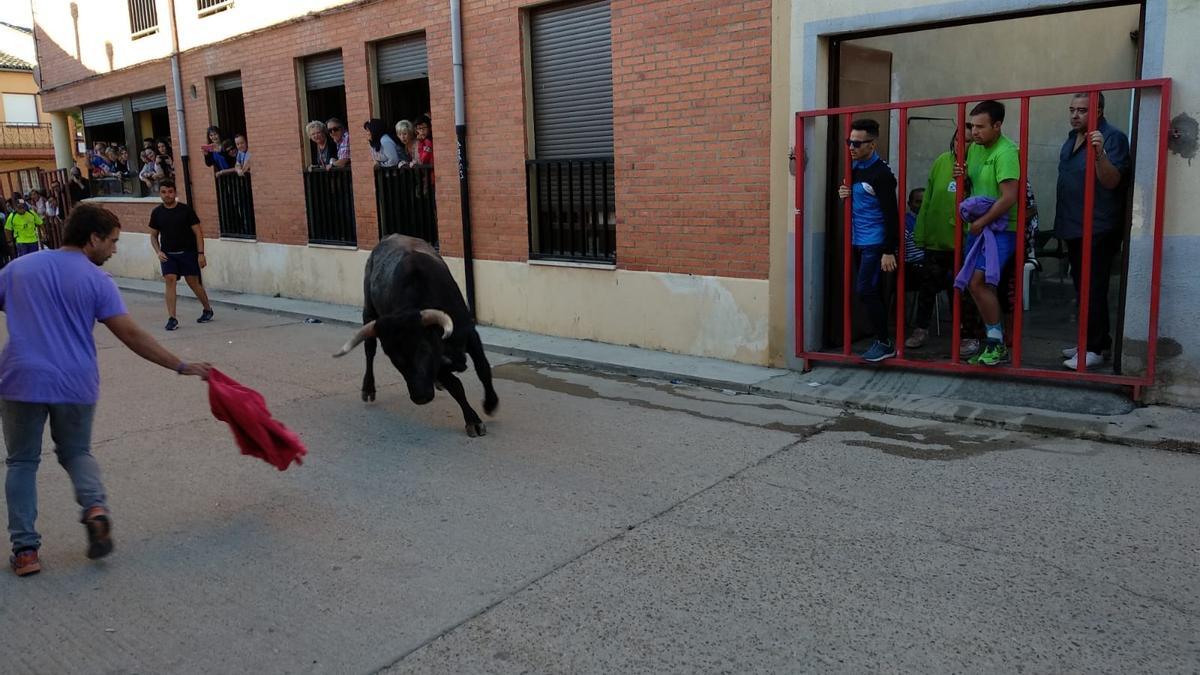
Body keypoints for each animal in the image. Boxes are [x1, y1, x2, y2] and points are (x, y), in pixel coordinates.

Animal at [331, 236, 499, 437]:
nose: (420, 397)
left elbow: (483, 369)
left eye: (423, 348)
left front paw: (490, 403)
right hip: (368, 312)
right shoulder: (440, 362)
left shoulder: (470, 333)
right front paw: (473, 420)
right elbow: (456, 386)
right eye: (393, 357)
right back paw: (368, 388)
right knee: (369, 350)